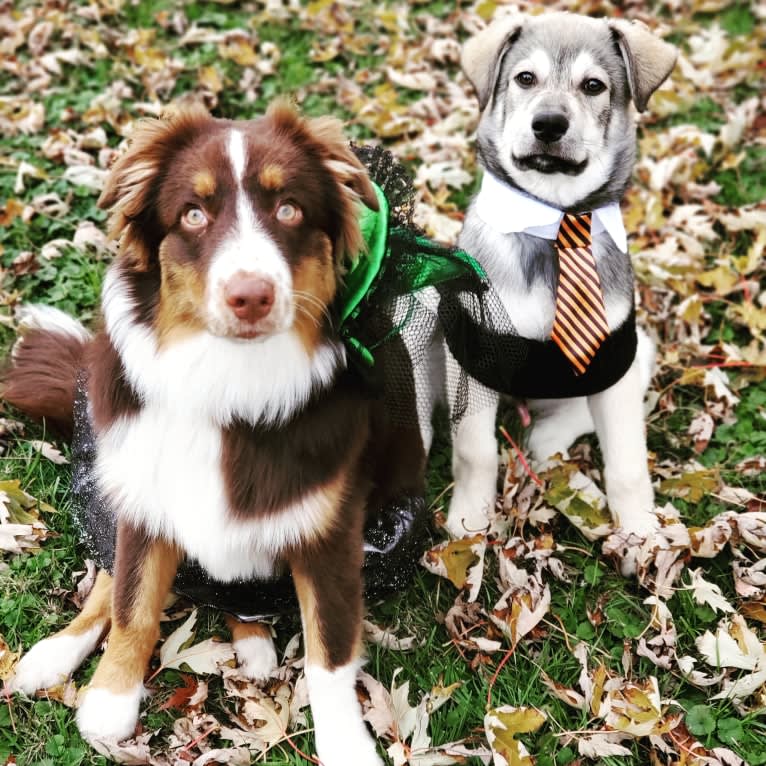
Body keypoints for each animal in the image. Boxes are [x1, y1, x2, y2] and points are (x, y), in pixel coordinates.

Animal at [3, 103, 392, 766]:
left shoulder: (331, 532)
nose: (250, 296)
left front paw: (346, 745)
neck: (229, 379)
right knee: (109, 580)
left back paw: (254, 641)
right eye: (193, 214)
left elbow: (329, 653)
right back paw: (54, 654)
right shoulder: (145, 498)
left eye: (289, 209)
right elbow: (132, 602)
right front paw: (109, 701)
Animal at [438, 10, 680, 540]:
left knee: (555, 429)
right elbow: (475, 450)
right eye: (525, 78)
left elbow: (628, 463)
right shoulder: (476, 353)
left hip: (639, 354)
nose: (548, 124)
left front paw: (641, 533)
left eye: (594, 86)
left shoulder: (614, 359)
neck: (557, 221)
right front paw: (470, 521)